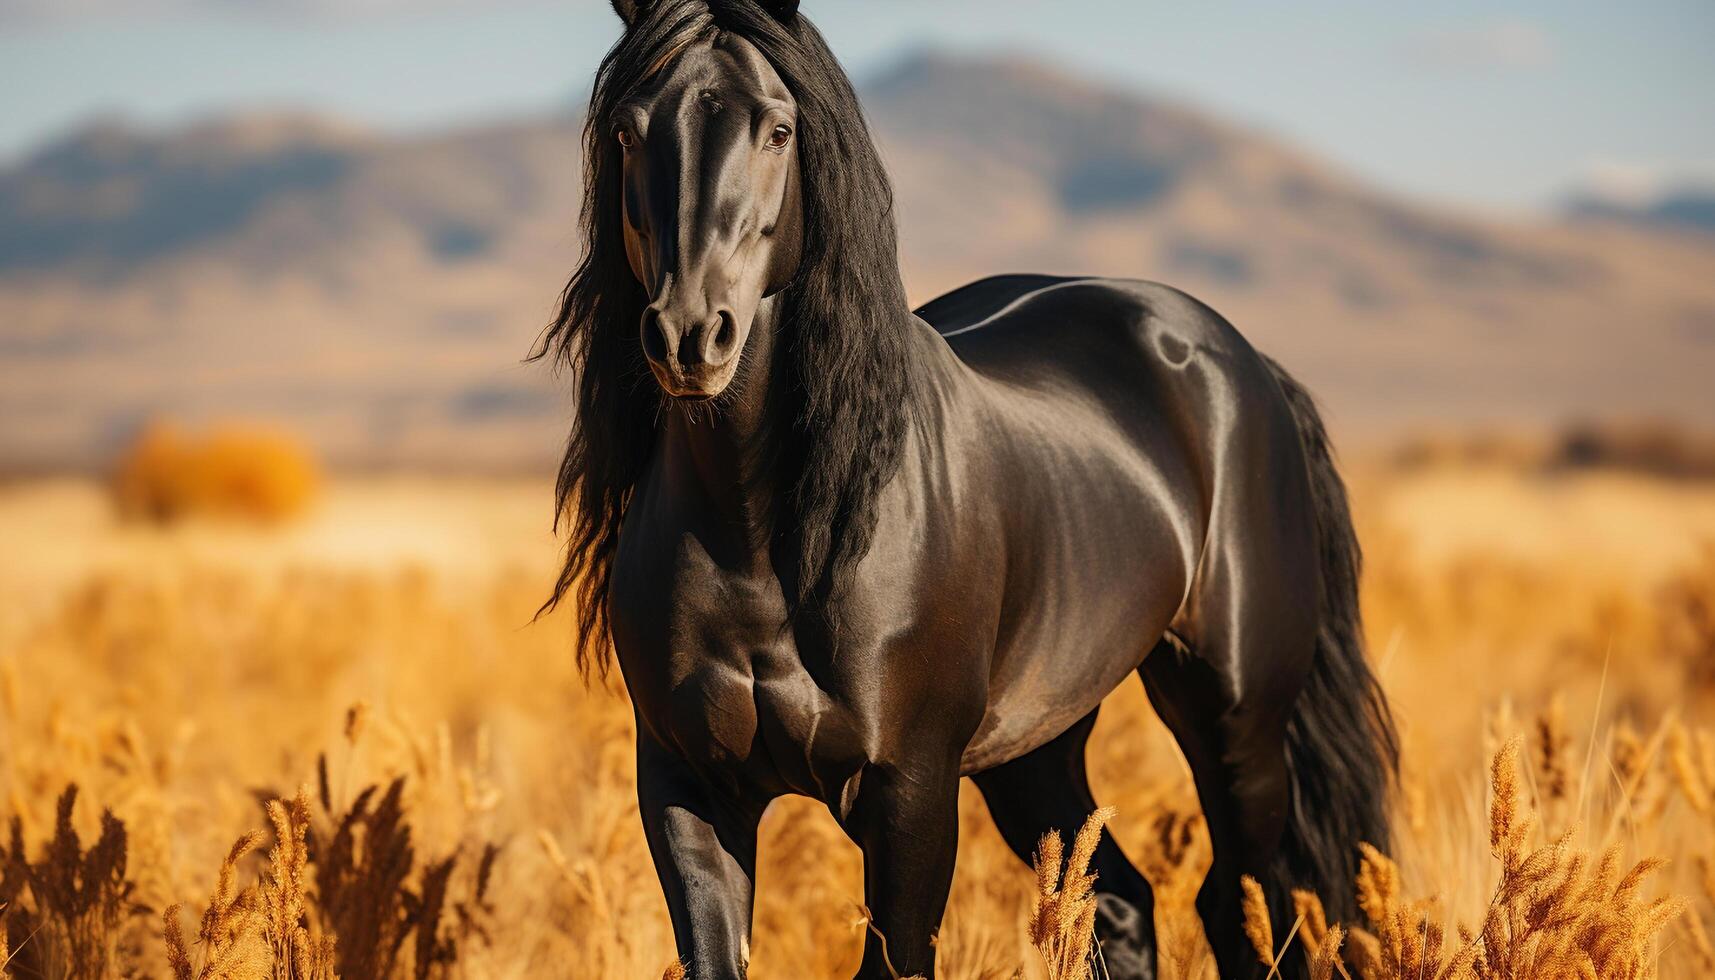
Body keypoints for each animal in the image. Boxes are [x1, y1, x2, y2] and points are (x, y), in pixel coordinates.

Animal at [531, 3, 1392, 974]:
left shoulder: (909, 794)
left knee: (1245, 905)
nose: (687, 337)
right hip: (1036, 746)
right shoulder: (688, 792)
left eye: (778, 128)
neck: (761, 534)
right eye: (628, 130)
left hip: (1236, 726)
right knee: (1121, 901)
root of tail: (1235, 359)